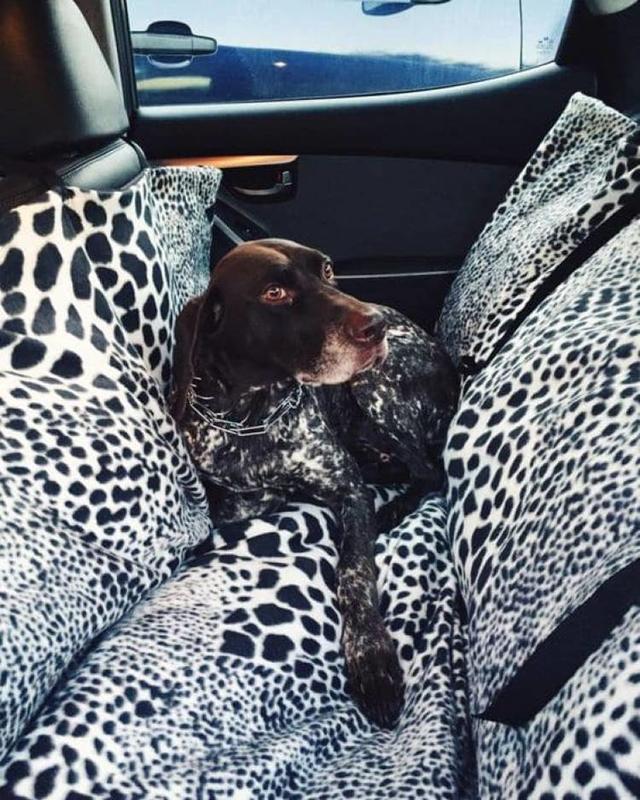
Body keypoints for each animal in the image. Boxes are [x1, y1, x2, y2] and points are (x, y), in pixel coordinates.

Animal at [170, 239, 459, 728]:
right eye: (274, 293)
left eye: (326, 270)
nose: (377, 326)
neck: (255, 417)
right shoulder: (232, 497)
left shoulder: (348, 490)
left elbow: (354, 571)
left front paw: (371, 658)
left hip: (374, 387)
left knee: (428, 470)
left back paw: (390, 509)